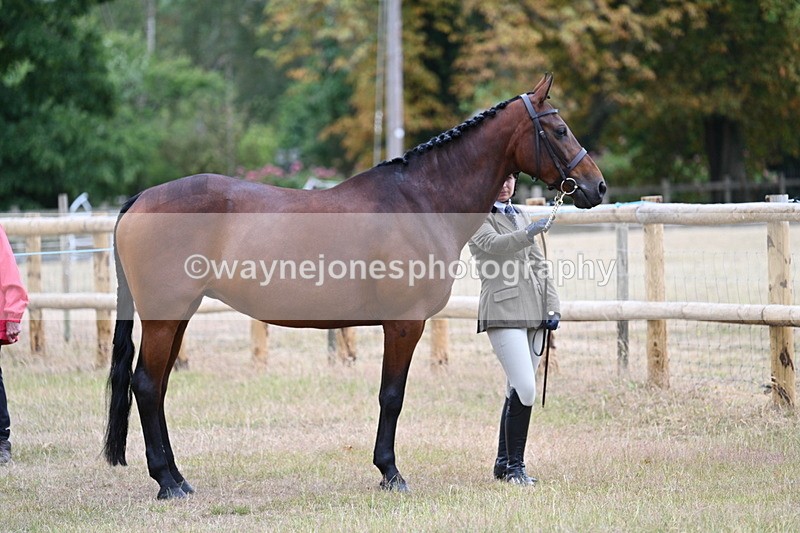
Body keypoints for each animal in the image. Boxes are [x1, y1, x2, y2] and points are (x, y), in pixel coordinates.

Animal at [103, 73, 606, 499]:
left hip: (178, 317)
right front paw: (391, 473)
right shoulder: (404, 324)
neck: (421, 202)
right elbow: (391, 396)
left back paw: (178, 478)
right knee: (145, 385)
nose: (597, 187)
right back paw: (167, 483)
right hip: (165, 317)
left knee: (158, 387)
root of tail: (141, 199)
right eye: (559, 129)